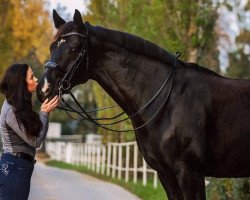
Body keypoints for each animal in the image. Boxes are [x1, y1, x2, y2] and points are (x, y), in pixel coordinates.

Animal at [36, 9, 250, 200]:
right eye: (52, 47)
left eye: (74, 48)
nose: (43, 89)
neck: (168, 102)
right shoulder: (166, 175)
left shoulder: (190, 175)